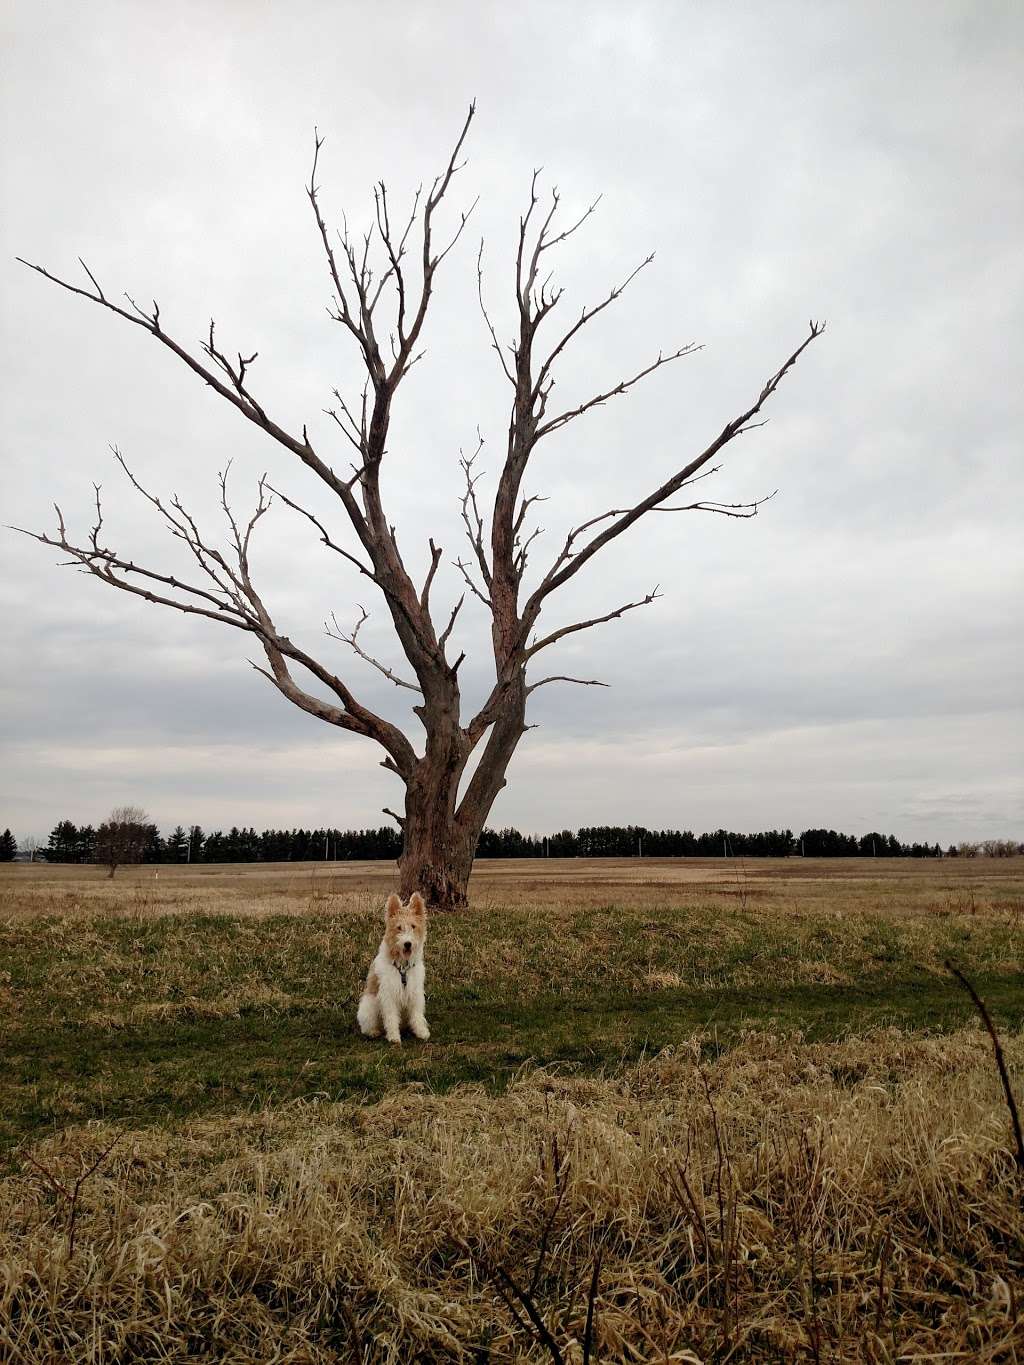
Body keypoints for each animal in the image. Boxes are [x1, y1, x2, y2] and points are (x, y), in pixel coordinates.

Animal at [357, 884, 428, 1042]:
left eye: (413, 926)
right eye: (399, 927)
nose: (407, 944)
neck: (403, 967)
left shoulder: (415, 992)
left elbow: (417, 1015)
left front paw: (421, 1031)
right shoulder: (389, 994)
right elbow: (391, 1018)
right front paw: (394, 1037)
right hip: (369, 1004)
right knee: (368, 1025)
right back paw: (374, 1031)